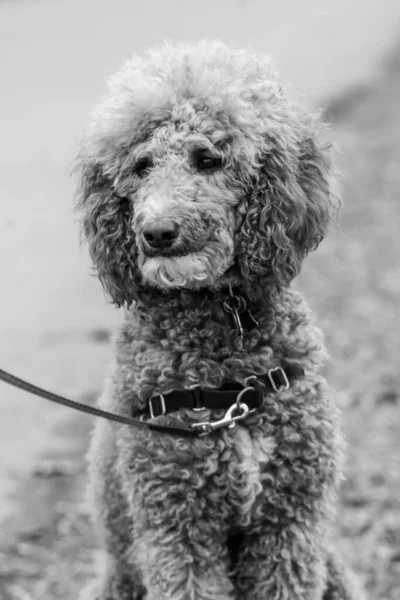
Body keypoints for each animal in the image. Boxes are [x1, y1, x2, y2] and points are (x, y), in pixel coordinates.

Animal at [76, 42, 366, 600]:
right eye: (141, 165)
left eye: (207, 159)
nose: (156, 232)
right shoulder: (177, 527)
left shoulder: (289, 523)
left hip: (334, 567)